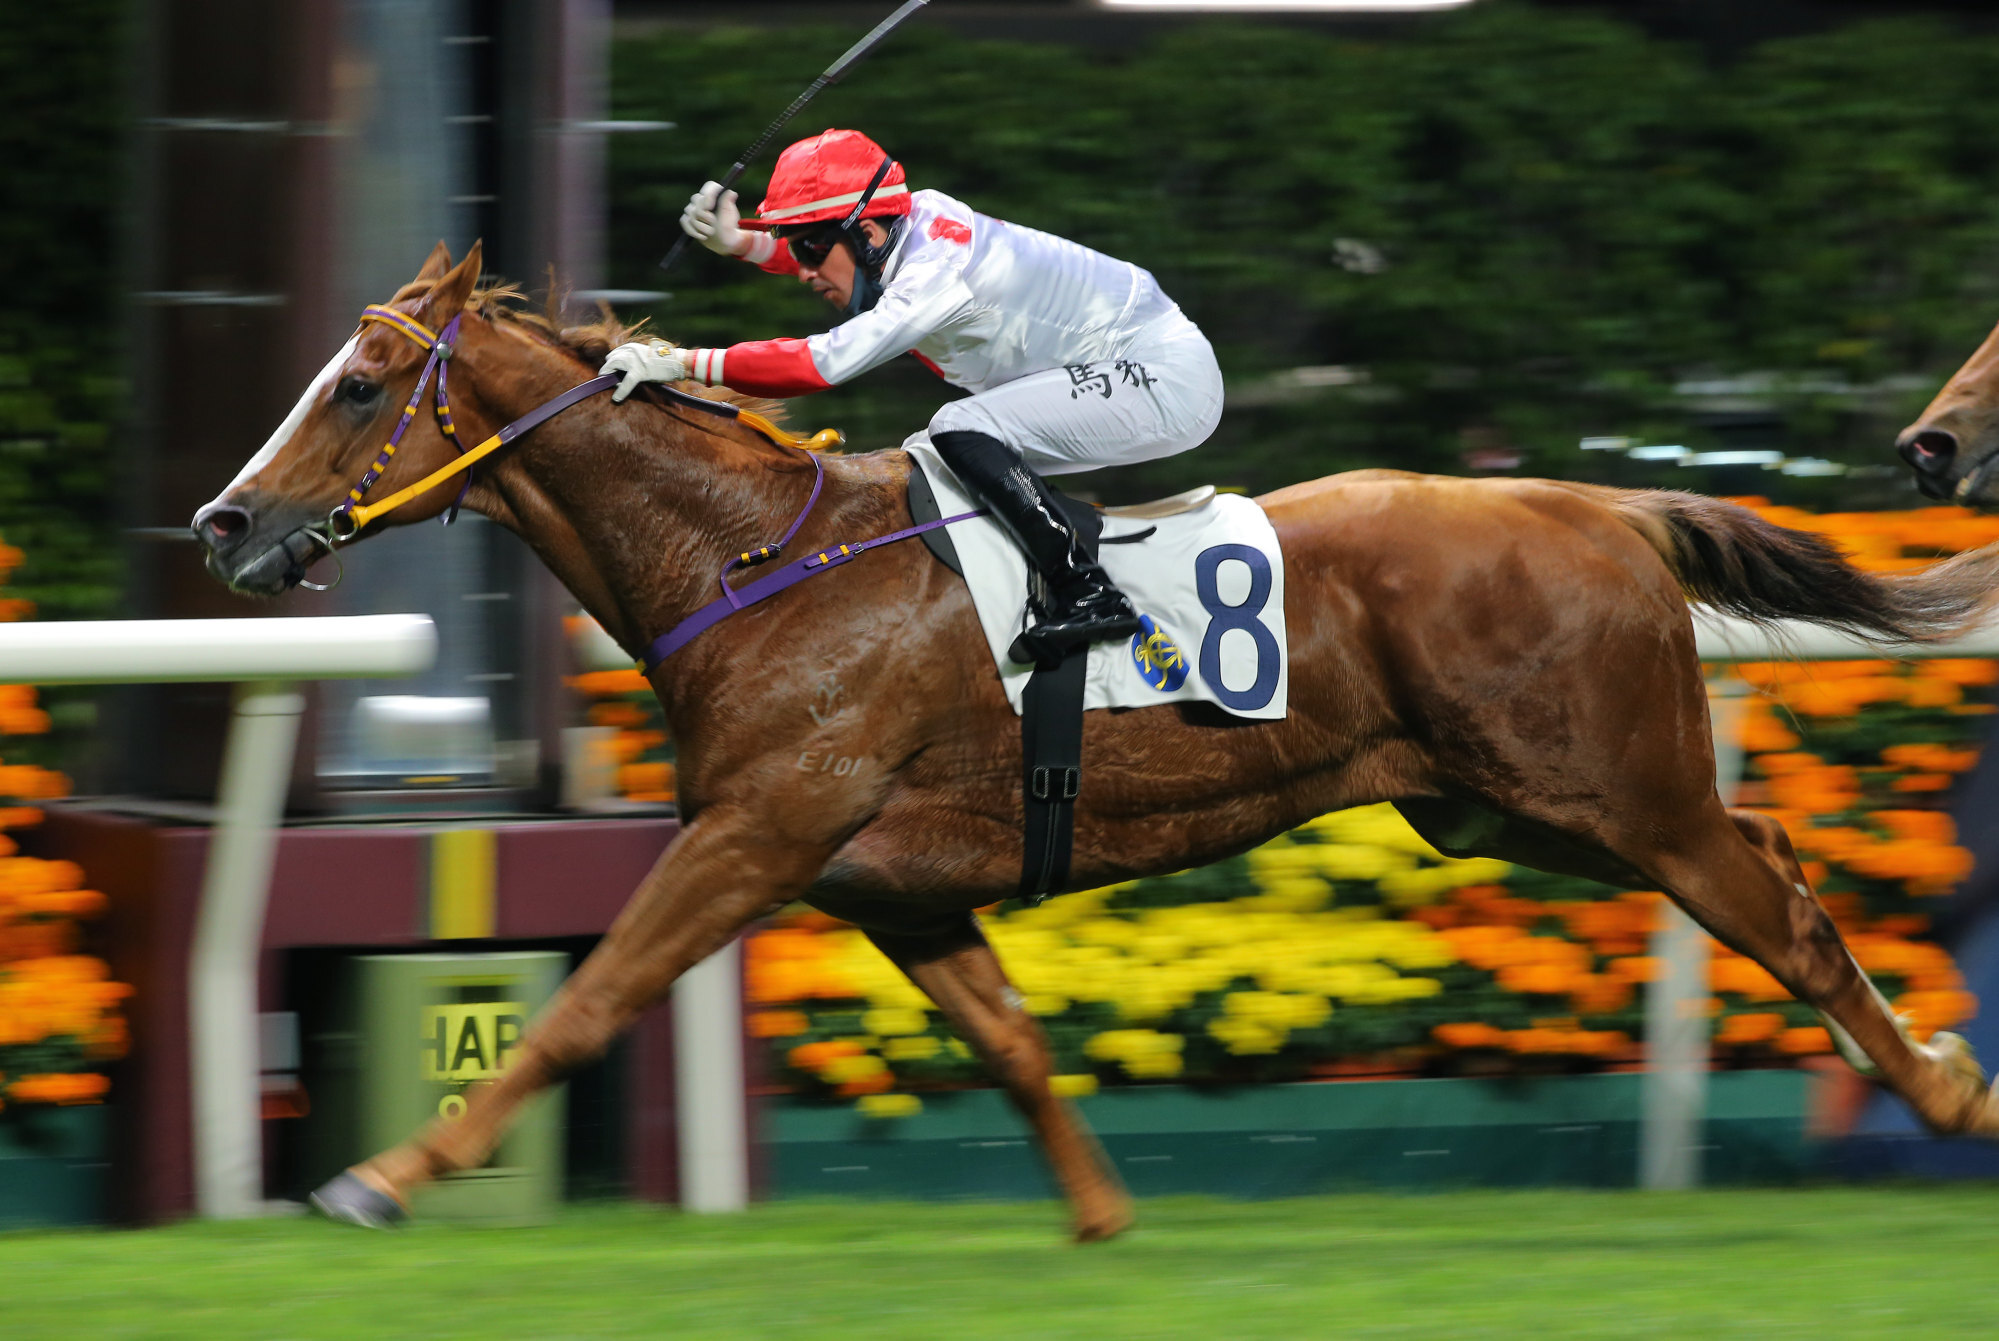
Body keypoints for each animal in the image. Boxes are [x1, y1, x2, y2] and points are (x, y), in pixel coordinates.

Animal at [198, 241, 1999, 1239]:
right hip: (1508, 810)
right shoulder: (893, 885)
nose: (223, 525)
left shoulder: (755, 834)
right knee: (1770, 862)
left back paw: (1940, 1089)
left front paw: (377, 1179)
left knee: (1778, 910)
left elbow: (583, 1006)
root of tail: (1599, 503)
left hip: (1611, 793)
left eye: (357, 384)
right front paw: (1099, 1218)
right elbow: (1007, 1043)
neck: (755, 560)